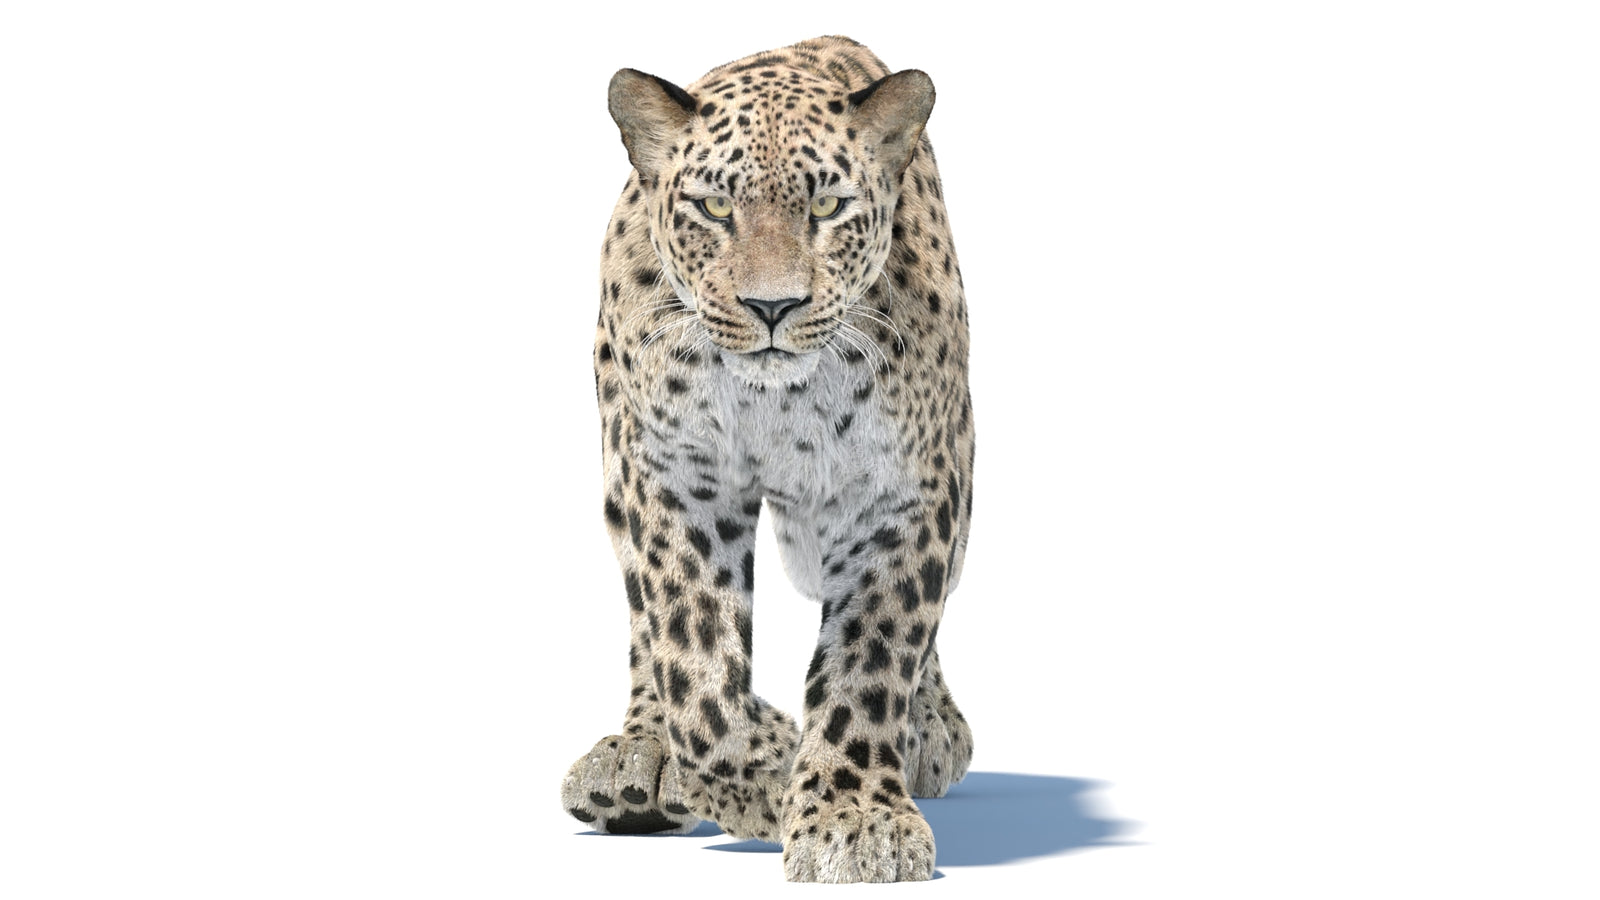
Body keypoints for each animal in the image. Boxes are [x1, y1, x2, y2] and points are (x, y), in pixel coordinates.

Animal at [560, 35, 975, 883]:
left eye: (827, 209)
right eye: (716, 209)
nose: (773, 307)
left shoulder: (902, 494)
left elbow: (873, 657)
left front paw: (855, 818)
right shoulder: (675, 478)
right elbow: (692, 660)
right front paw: (760, 775)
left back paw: (931, 729)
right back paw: (639, 759)